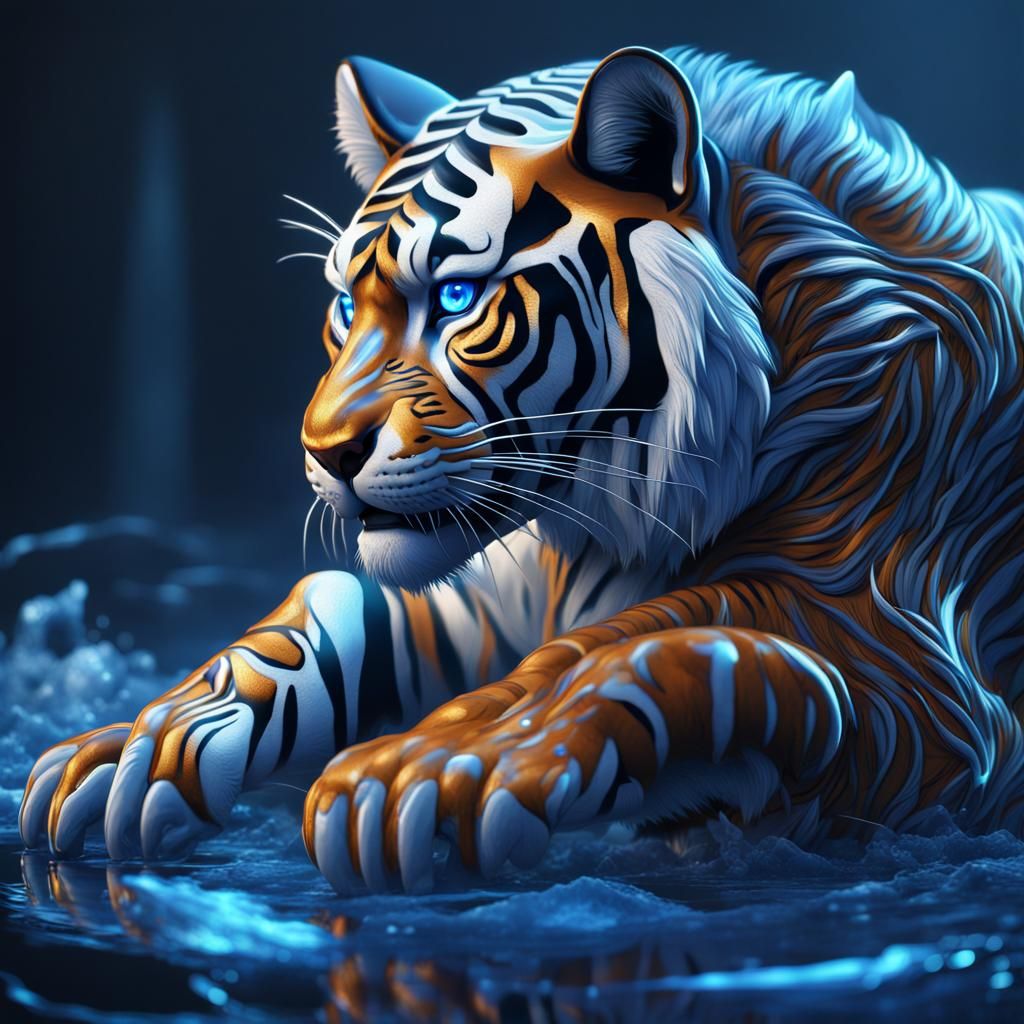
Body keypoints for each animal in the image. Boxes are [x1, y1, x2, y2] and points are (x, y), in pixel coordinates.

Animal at [20, 45, 1024, 894]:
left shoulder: (908, 673)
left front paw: (439, 767)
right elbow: (308, 624)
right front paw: (133, 750)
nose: (326, 451)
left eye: (457, 298)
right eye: (347, 305)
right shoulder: (474, 593)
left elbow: (656, 639)